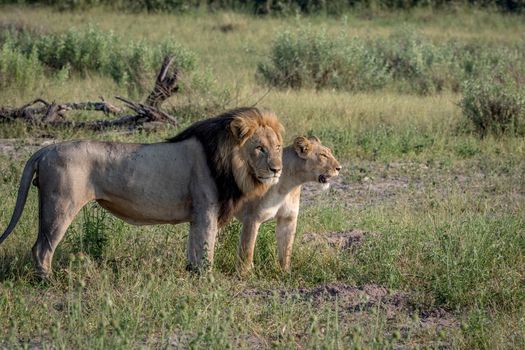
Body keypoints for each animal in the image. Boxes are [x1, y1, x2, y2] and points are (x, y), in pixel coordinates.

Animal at [0, 106, 282, 276]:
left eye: (277, 147)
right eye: (259, 148)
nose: (277, 169)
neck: (231, 165)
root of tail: (45, 149)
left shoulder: (197, 216)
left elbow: (193, 249)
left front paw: (192, 275)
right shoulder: (206, 211)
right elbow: (206, 251)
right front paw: (207, 281)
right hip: (60, 205)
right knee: (41, 247)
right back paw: (46, 281)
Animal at [235, 135, 342, 274]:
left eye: (329, 152)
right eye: (323, 155)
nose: (339, 168)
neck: (288, 185)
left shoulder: (288, 218)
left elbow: (286, 249)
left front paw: (285, 273)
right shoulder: (252, 217)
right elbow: (247, 249)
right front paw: (244, 274)